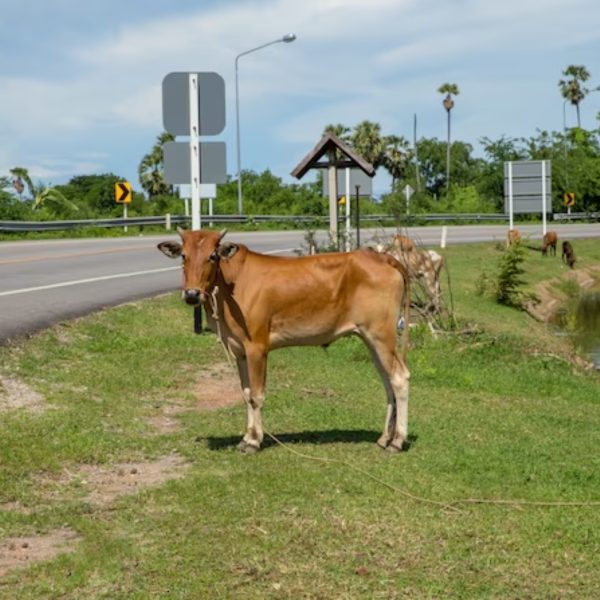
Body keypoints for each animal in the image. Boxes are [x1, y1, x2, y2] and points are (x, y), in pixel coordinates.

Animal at [158, 231, 412, 454]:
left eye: (212, 255)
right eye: (184, 256)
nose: (191, 294)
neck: (229, 286)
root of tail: (384, 258)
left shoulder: (257, 346)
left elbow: (257, 395)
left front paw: (254, 442)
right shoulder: (239, 349)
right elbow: (245, 394)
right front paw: (245, 438)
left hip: (381, 334)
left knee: (399, 378)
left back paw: (397, 441)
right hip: (370, 338)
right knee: (387, 380)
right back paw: (384, 438)